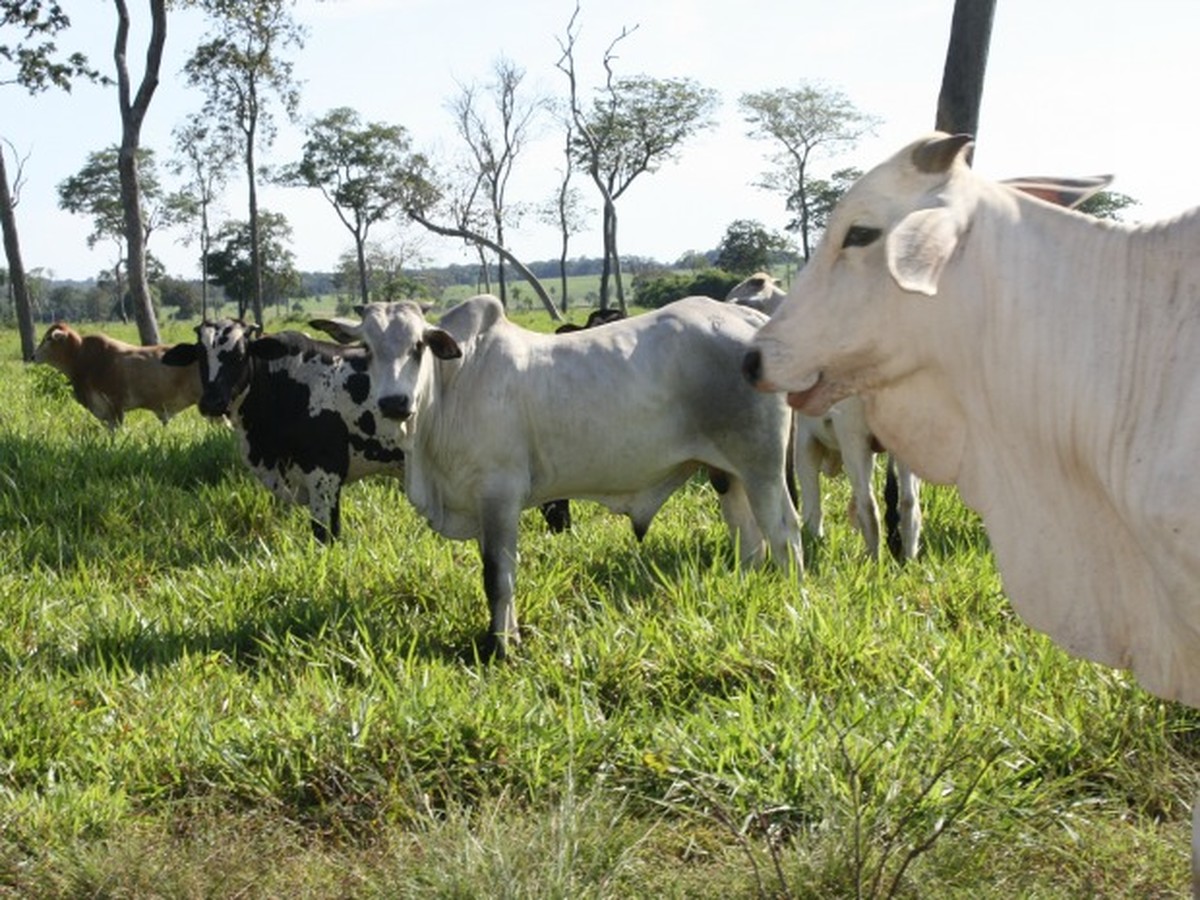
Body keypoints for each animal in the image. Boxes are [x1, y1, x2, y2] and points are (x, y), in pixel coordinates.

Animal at [312, 294, 803, 658]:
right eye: (366, 349)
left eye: (418, 346)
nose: (395, 403)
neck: (451, 388)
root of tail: (748, 317)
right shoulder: (483, 506)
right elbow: (501, 573)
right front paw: (507, 635)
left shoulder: (499, 494)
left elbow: (497, 576)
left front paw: (500, 648)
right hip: (729, 474)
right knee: (750, 540)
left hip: (761, 466)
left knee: (784, 533)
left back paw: (790, 598)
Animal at [725, 275, 922, 561]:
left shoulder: (804, 440)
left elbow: (810, 499)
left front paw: (813, 538)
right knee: (908, 502)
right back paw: (907, 557)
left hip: (852, 437)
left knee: (869, 503)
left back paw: (875, 561)